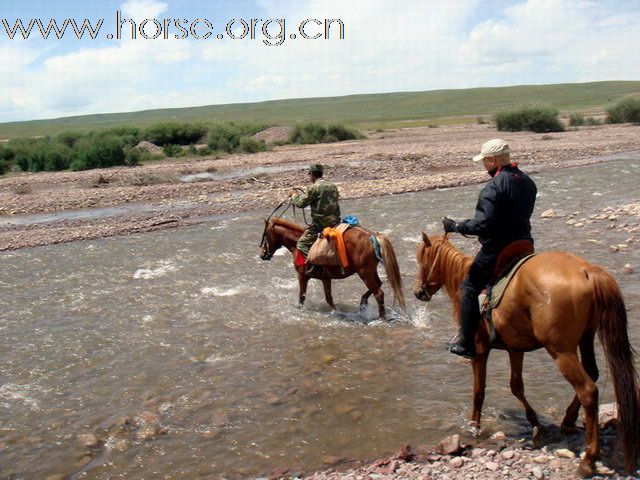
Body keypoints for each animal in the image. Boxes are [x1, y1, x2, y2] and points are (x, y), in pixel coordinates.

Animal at [260, 218, 404, 318]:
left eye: (265, 234)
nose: (262, 254)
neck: (296, 244)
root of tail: (374, 236)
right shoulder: (325, 278)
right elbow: (329, 298)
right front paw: (337, 312)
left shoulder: (302, 276)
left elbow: (302, 297)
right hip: (370, 271)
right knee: (378, 285)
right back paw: (363, 304)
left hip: (364, 273)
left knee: (378, 293)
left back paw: (381, 317)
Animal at [412, 233, 636, 476]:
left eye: (422, 259)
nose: (418, 292)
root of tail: (587, 270)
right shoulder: (515, 349)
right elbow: (516, 386)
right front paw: (536, 424)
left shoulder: (479, 350)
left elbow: (478, 392)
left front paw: (474, 427)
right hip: (586, 337)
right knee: (592, 374)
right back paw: (568, 421)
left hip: (561, 350)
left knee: (588, 389)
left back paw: (588, 461)